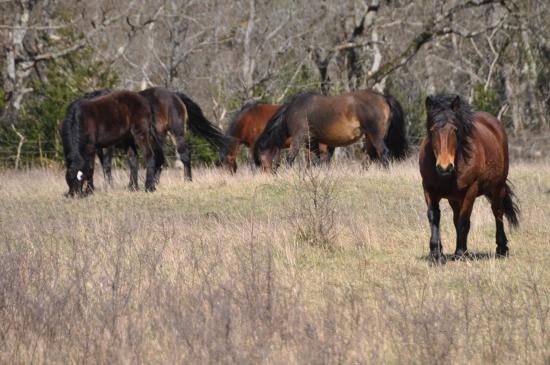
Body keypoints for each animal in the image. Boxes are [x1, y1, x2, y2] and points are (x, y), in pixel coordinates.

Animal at [252, 90, 408, 171]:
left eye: (261, 158)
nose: (268, 174)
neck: (293, 111)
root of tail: (383, 97)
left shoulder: (298, 138)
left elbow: (291, 157)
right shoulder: (312, 141)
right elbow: (317, 161)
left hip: (375, 136)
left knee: (383, 153)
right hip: (370, 137)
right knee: (371, 156)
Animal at [420, 95, 520, 260]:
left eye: (455, 130)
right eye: (433, 130)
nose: (444, 167)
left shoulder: (471, 190)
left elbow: (464, 220)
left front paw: (461, 252)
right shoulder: (429, 189)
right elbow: (434, 217)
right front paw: (436, 253)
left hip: (497, 187)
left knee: (497, 212)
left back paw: (501, 248)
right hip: (454, 198)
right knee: (456, 218)